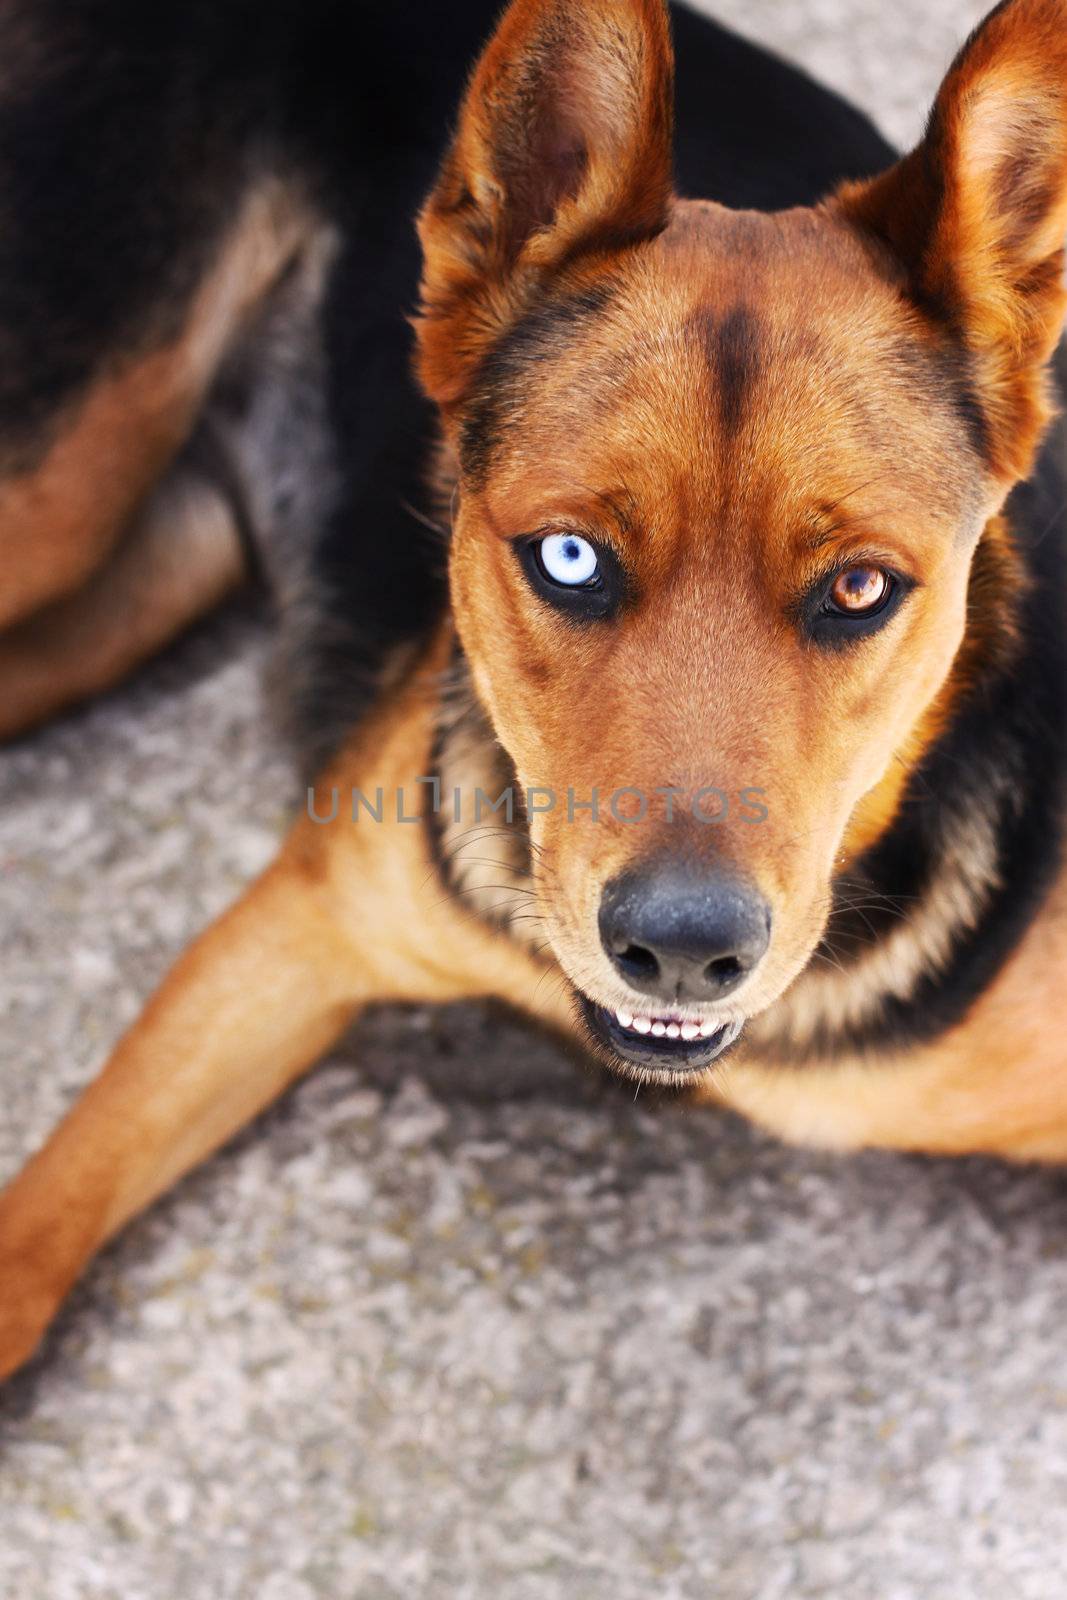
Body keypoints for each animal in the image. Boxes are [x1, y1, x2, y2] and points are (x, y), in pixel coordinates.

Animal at [2, 0, 1067, 1382]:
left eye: (858, 588)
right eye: (568, 558)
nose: (682, 953)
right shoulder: (303, 919)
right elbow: (36, 1231)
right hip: (64, 485)